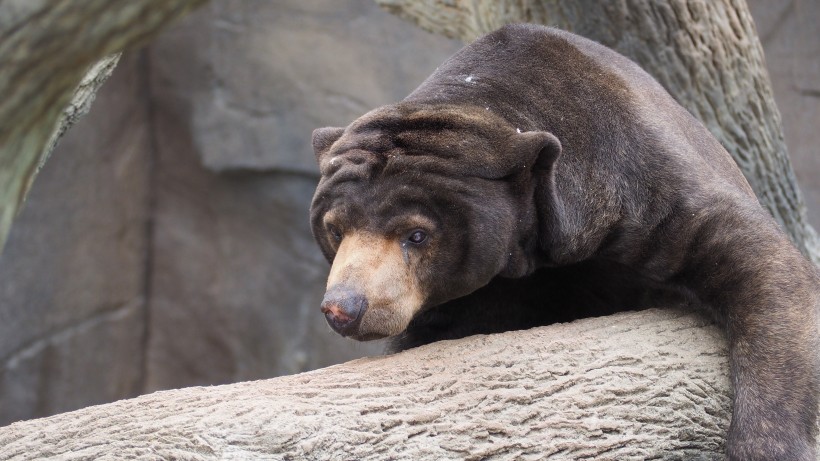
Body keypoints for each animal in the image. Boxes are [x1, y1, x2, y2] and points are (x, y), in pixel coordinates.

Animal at [310, 23, 820, 458]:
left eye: (416, 234)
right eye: (335, 229)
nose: (344, 308)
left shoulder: (646, 183)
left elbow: (759, 262)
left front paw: (767, 444)